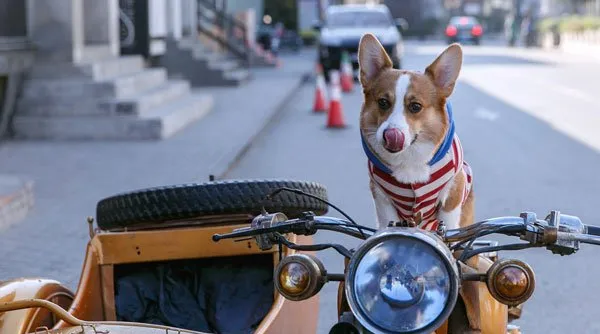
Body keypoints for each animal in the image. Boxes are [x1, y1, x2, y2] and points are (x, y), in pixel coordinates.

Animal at [358, 34, 476, 232]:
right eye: (383, 102)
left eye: (415, 106)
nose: (390, 135)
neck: (409, 157)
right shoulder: (383, 200)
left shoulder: (453, 193)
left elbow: (449, 223)